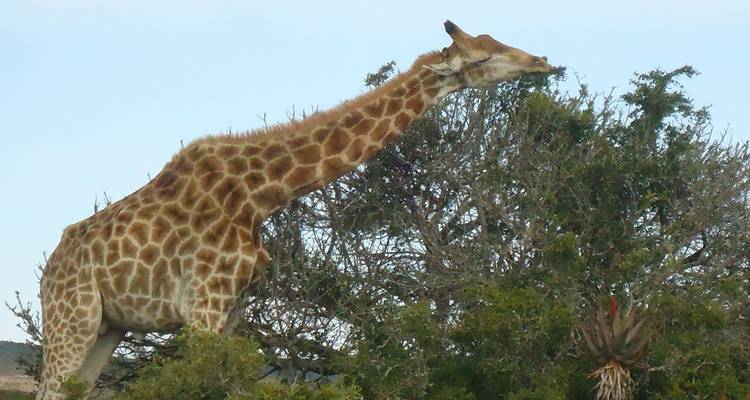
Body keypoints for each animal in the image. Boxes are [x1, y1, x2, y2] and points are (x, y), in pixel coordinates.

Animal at [36, 21, 551, 399]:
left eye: (496, 40)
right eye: (482, 57)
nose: (542, 61)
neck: (260, 197)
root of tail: (48, 273)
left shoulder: (233, 308)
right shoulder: (203, 304)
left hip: (107, 328)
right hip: (72, 320)